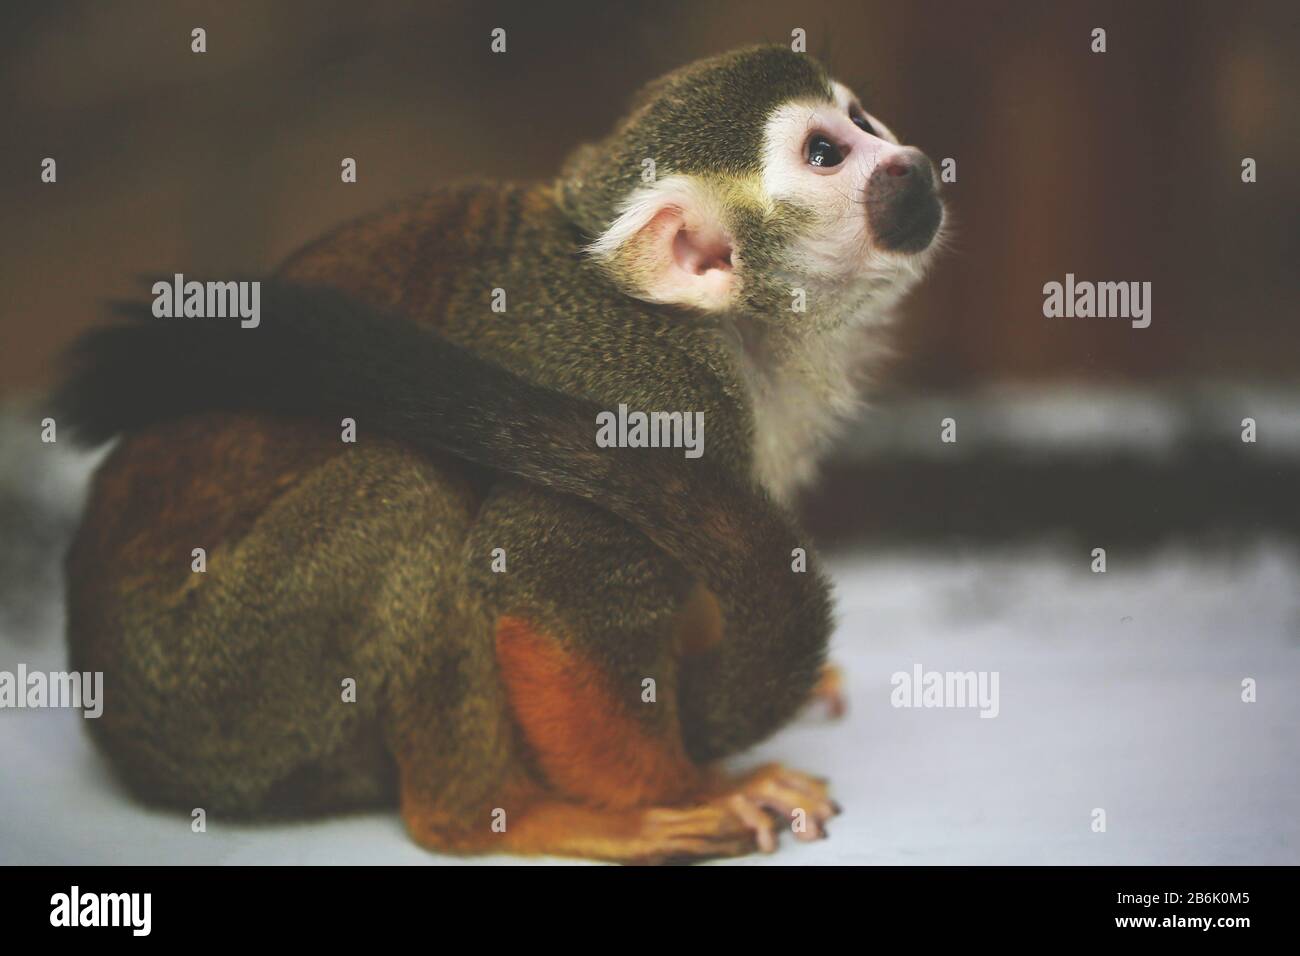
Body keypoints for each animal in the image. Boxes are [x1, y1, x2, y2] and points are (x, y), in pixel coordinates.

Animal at [56, 45, 944, 863]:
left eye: (860, 119)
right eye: (825, 153)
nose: (911, 162)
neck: (710, 324)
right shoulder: (654, 398)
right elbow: (550, 594)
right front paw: (694, 788)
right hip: (220, 695)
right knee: (407, 494)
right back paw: (495, 815)